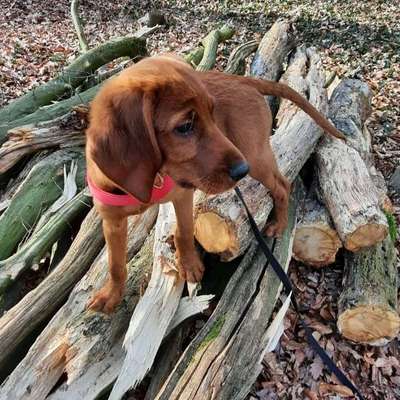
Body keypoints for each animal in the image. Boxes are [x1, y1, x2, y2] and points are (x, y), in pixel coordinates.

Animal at [86, 55, 342, 312]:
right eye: (185, 127)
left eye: (212, 113)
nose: (241, 171)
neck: (154, 180)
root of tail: (241, 79)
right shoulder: (112, 220)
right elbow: (115, 263)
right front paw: (110, 295)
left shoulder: (182, 195)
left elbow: (184, 231)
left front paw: (189, 265)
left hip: (255, 156)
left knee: (282, 185)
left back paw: (279, 225)